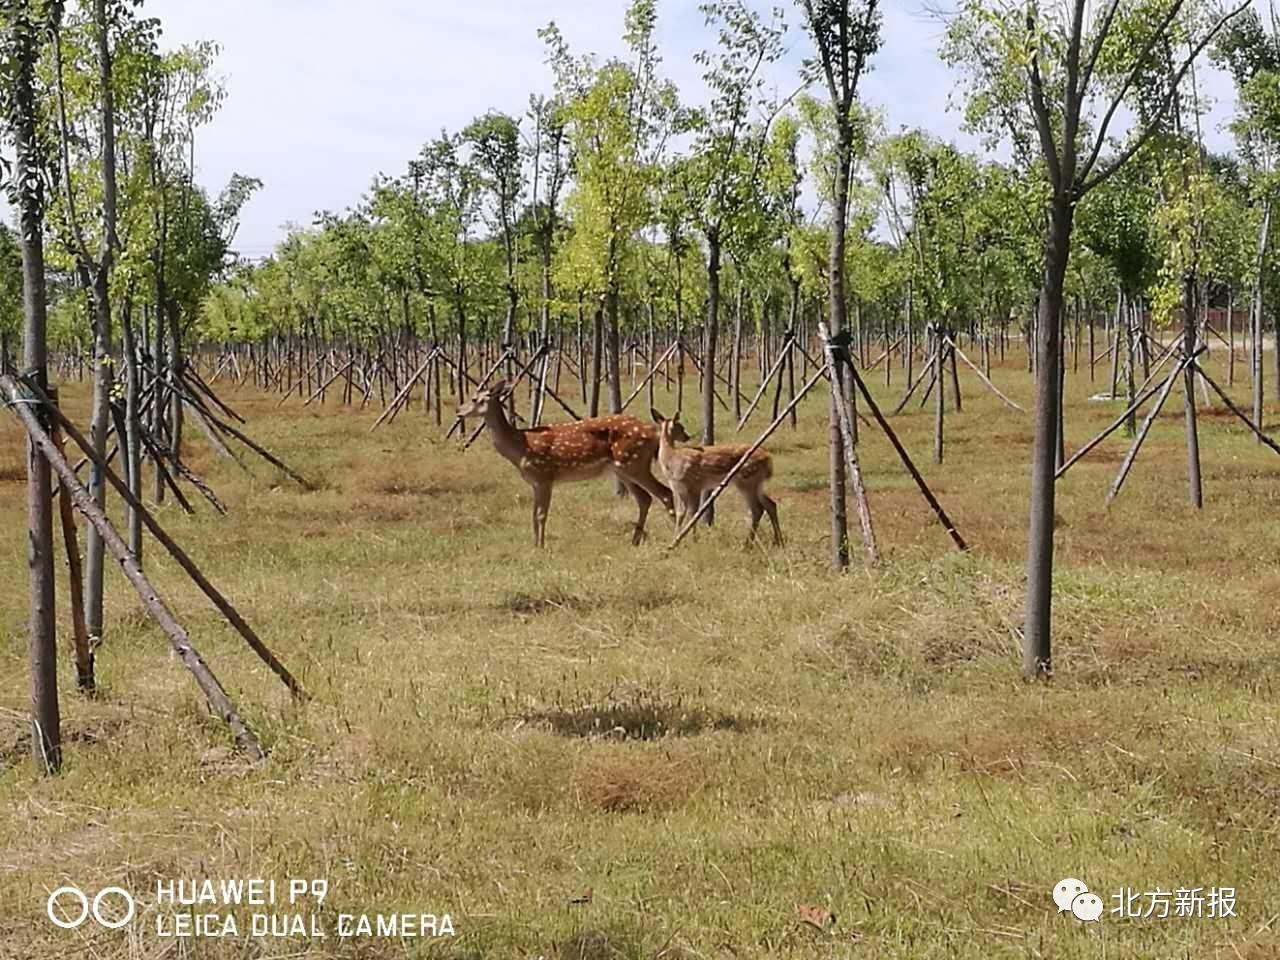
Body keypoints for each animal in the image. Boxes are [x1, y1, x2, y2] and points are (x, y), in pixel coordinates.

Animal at [455, 384, 675, 547]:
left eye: (474, 398)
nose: (458, 411)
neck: (520, 447)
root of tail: (654, 433)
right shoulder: (535, 482)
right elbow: (533, 514)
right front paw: (534, 545)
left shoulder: (545, 475)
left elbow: (541, 514)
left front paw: (541, 546)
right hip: (622, 468)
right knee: (644, 498)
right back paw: (635, 541)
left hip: (635, 463)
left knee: (665, 493)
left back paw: (676, 539)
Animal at [650, 409, 778, 547]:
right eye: (681, 427)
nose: (687, 436)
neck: (671, 459)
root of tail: (768, 459)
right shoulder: (679, 489)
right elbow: (680, 514)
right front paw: (675, 540)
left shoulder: (694, 485)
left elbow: (693, 513)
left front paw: (693, 540)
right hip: (756, 482)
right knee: (770, 504)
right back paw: (778, 541)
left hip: (747, 480)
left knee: (757, 509)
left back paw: (747, 544)